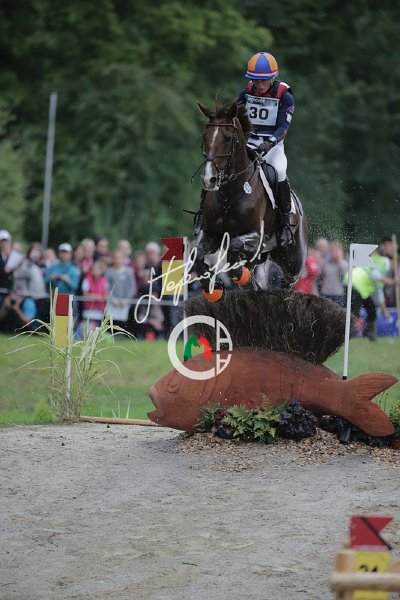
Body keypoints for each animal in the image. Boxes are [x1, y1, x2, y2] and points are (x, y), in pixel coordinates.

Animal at [191, 100, 308, 301]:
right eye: (205, 136)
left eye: (228, 138)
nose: (209, 179)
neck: (230, 195)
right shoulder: (210, 233)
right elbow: (197, 253)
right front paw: (213, 287)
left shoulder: (257, 236)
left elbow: (235, 246)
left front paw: (239, 274)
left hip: (293, 260)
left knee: (289, 281)